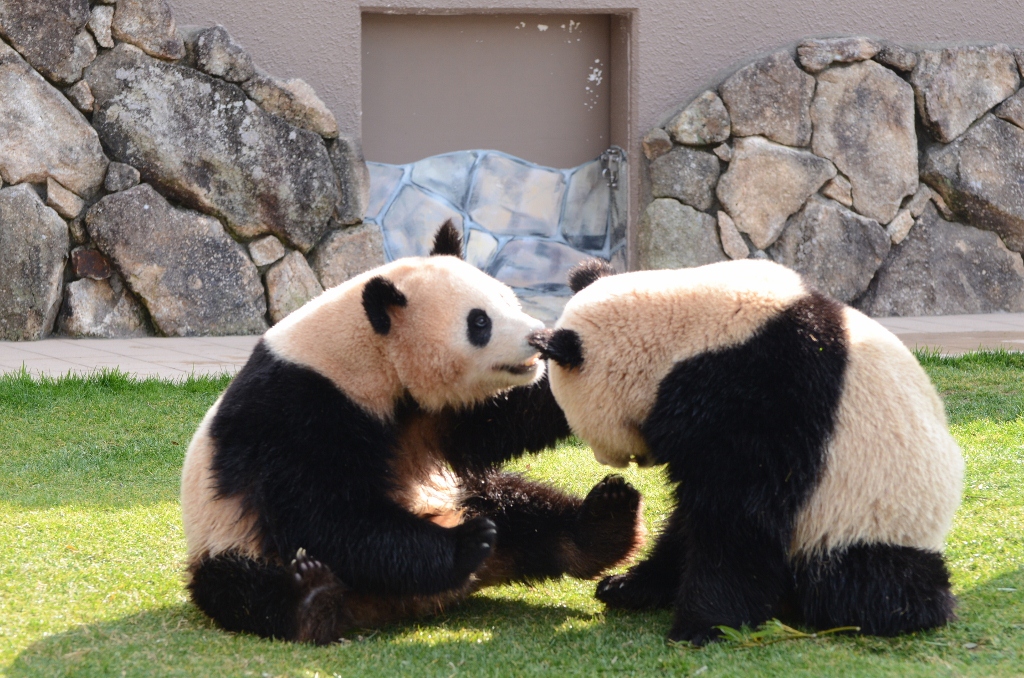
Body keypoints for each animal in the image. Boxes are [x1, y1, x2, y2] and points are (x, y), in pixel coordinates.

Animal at [181, 225, 643, 647]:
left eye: (507, 298)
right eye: (479, 321)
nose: (536, 337)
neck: (368, 353)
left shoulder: (438, 413)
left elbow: (505, 423)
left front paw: (596, 298)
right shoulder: (297, 407)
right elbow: (323, 512)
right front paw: (465, 543)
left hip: (466, 493)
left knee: (525, 509)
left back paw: (604, 520)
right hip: (229, 540)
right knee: (239, 588)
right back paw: (311, 600)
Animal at [528, 259, 966, 647]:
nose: (609, 461)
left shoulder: (764, 393)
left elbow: (738, 514)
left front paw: (703, 626)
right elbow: (692, 519)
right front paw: (628, 585)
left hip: (865, 517)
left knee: (864, 580)